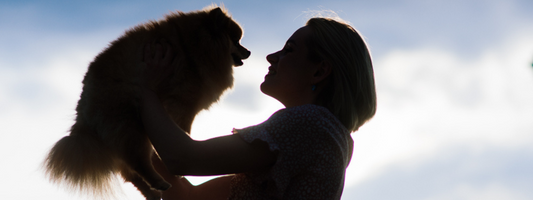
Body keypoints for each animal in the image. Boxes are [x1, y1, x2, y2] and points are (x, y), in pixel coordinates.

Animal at [43, 5, 249, 199]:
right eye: (236, 40)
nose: (248, 51)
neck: (193, 45)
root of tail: (83, 109)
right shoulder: (183, 105)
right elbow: (184, 130)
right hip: (131, 125)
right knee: (136, 162)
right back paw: (158, 183)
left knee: (128, 172)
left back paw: (152, 192)